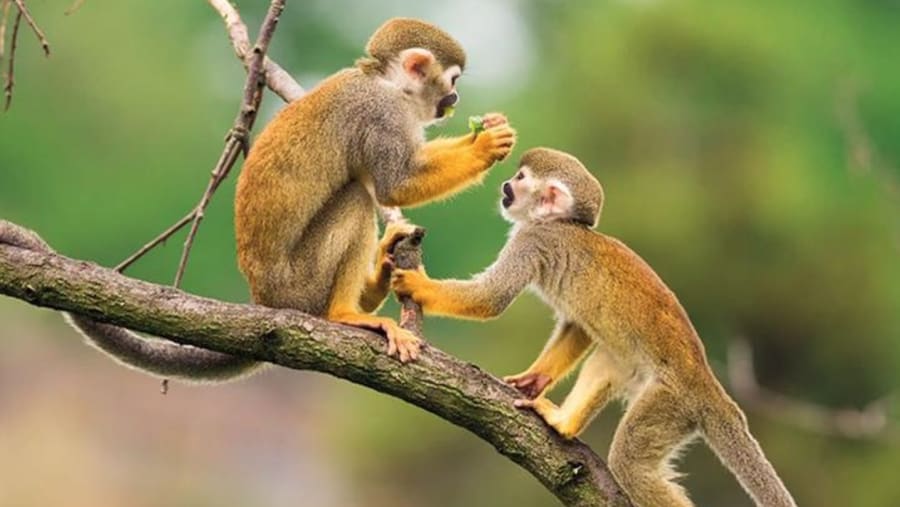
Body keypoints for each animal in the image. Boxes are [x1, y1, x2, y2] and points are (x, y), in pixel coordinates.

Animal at [0, 18, 515, 383]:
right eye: (451, 80)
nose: (455, 98)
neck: (386, 84)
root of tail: (265, 301)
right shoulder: (381, 116)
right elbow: (395, 185)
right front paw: (486, 146)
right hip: (300, 285)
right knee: (355, 198)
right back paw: (346, 313)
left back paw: (378, 279)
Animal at [391, 147, 796, 507]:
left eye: (520, 179)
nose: (505, 186)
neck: (558, 224)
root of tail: (707, 384)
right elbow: (578, 325)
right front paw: (535, 379)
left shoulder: (531, 241)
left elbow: (491, 299)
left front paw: (416, 284)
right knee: (609, 359)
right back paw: (564, 424)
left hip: (671, 401)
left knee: (630, 465)